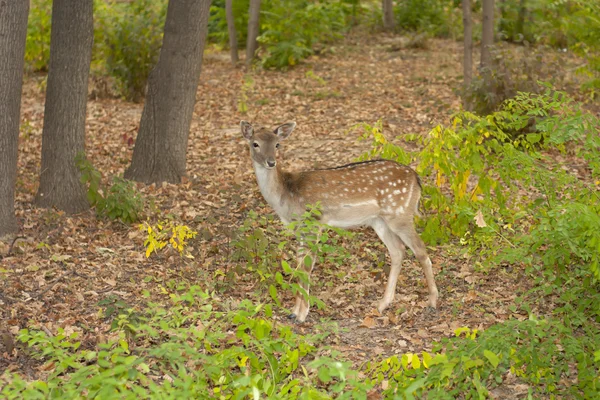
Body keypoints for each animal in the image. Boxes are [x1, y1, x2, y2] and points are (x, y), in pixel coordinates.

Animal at [241, 120, 438, 324]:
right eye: (255, 144)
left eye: (277, 144)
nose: (271, 162)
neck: (286, 196)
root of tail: (417, 179)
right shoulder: (300, 229)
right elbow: (299, 265)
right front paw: (293, 311)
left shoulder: (314, 221)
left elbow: (307, 266)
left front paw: (302, 315)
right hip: (379, 220)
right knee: (398, 250)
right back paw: (382, 304)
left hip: (400, 213)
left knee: (420, 250)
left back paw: (432, 302)